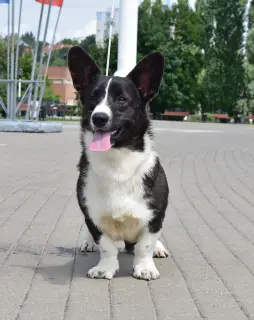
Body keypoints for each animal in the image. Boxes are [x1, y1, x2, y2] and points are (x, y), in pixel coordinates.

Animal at [68, 45, 170, 280]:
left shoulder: (154, 218)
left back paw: (159, 248)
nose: (99, 118)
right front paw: (104, 268)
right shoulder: (93, 217)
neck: (117, 162)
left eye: (122, 99)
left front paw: (145, 267)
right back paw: (87, 243)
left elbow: (144, 246)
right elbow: (106, 246)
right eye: (93, 98)